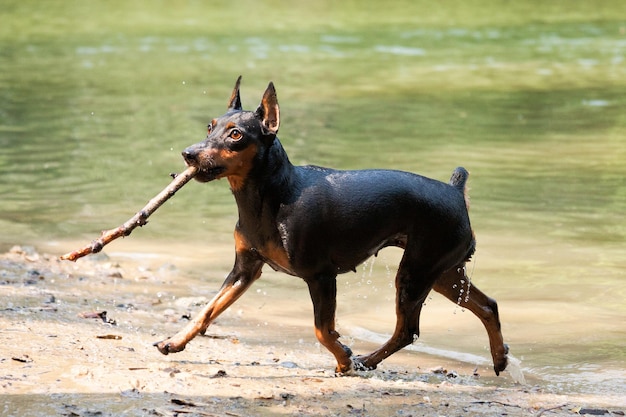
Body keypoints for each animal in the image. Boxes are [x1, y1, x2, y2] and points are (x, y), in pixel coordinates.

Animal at [152, 77, 508, 374]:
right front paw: (175, 340)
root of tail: (455, 191)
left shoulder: (321, 276)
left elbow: (322, 330)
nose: (189, 154)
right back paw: (499, 357)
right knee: (487, 305)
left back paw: (365, 360)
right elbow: (208, 309)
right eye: (209, 127)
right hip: (443, 273)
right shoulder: (245, 269)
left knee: (408, 331)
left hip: (417, 273)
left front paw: (344, 359)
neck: (272, 196)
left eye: (236, 134)